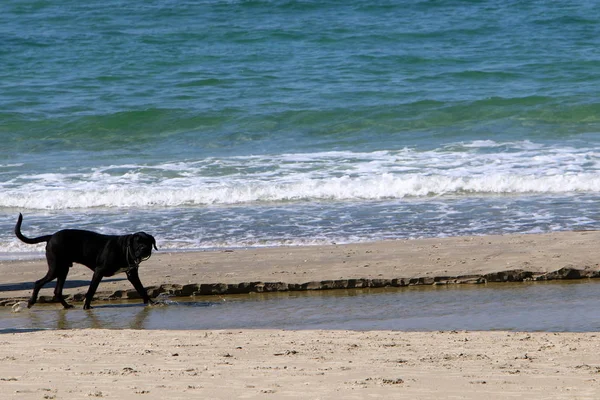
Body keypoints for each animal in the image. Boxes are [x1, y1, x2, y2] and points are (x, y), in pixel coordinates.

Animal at [14, 214, 157, 310]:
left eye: (148, 242)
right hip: (56, 268)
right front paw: (87, 305)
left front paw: (150, 302)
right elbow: (91, 289)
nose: (144, 249)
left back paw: (66, 306)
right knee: (38, 283)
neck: (124, 248)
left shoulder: (132, 274)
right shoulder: (99, 271)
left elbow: (141, 289)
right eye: (137, 242)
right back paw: (31, 301)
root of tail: (51, 236)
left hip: (63, 269)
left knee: (57, 291)